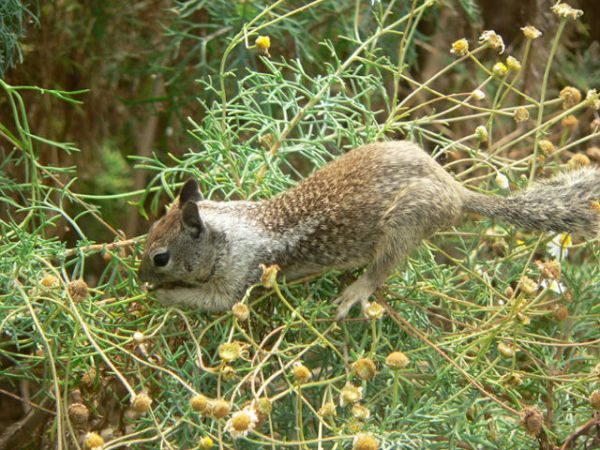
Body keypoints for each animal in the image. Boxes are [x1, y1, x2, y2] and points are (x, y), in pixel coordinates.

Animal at [137, 141, 600, 320]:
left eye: (161, 258)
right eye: (150, 229)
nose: (138, 277)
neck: (229, 232)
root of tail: (457, 193)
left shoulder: (239, 274)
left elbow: (213, 302)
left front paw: (163, 295)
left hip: (405, 221)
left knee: (383, 268)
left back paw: (356, 290)